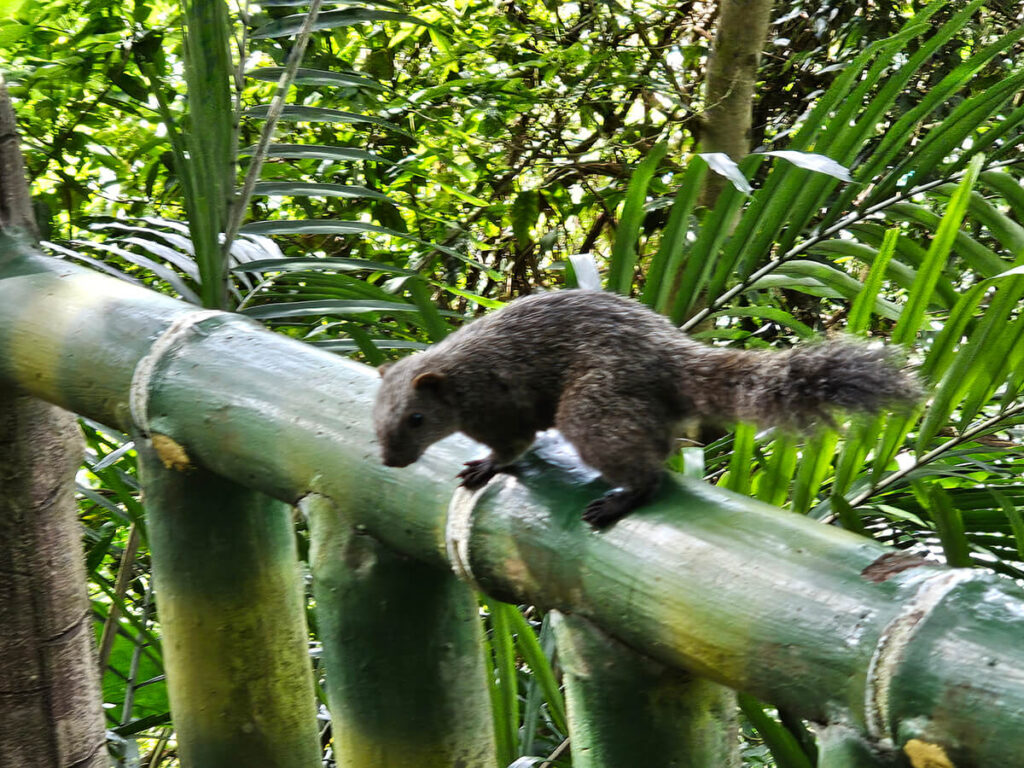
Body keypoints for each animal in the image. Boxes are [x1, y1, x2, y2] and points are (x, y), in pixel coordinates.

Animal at [372, 288, 917, 528]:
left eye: (417, 419)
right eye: (375, 421)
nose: (391, 462)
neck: (456, 375)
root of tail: (670, 355)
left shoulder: (497, 407)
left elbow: (514, 445)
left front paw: (487, 465)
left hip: (594, 406)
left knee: (648, 472)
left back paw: (621, 499)